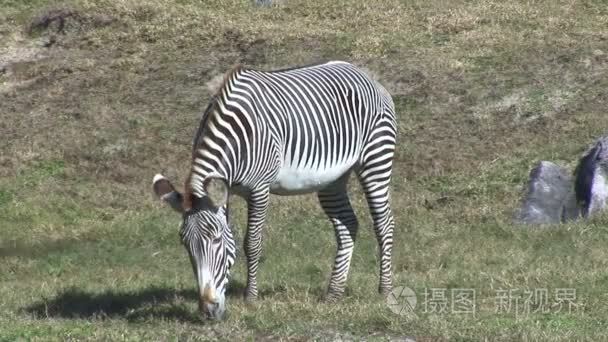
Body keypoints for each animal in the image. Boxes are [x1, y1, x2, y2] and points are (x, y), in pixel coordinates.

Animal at [154, 60, 396, 320]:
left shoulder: (259, 190)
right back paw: (334, 293)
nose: (208, 311)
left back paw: (385, 290)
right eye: (185, 244)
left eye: (216, 239)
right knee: (347, 224)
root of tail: (363, 73)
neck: (234, 138)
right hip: (332, 179)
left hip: (376, 160)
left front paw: (251, 298)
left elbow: (251, 243)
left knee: (384, 224)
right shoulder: (227, 191)